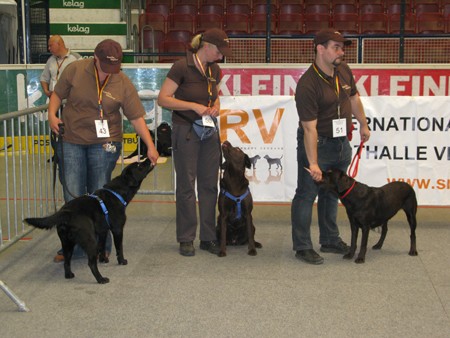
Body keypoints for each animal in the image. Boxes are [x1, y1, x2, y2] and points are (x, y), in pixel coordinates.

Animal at [24, 158, 155, 282]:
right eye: (139, 165)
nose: (148, 159)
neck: (117, 192)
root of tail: (66, 212)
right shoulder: (117, 229)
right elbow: (119, 248)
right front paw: (122, 261)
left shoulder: (103, 231)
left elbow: (102, 247)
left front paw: (103, 259)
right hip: (90, 240)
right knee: (91, 263)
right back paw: (101, 279)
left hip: (67, 243)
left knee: (67, 261)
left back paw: (69, 275)